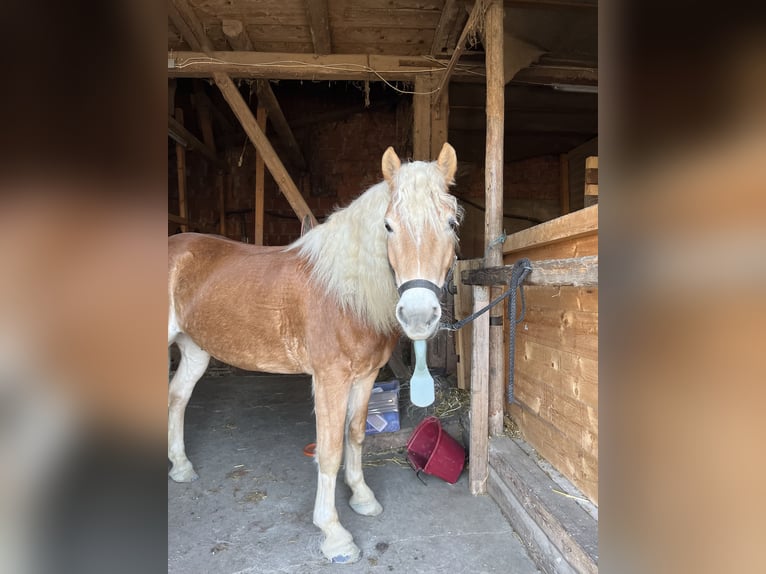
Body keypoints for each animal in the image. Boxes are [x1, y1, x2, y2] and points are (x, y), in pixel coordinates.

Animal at [167, 143, 462, 563]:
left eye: (451, 223)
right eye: (388, 226)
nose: (419, 315)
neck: (344, 294)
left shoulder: (365, 376)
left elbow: (355, 435)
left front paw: (362, 498)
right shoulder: (330, 380)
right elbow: (330, 450)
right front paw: (335, 534)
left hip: (195, 349)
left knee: (177, 397)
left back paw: (181, 466)